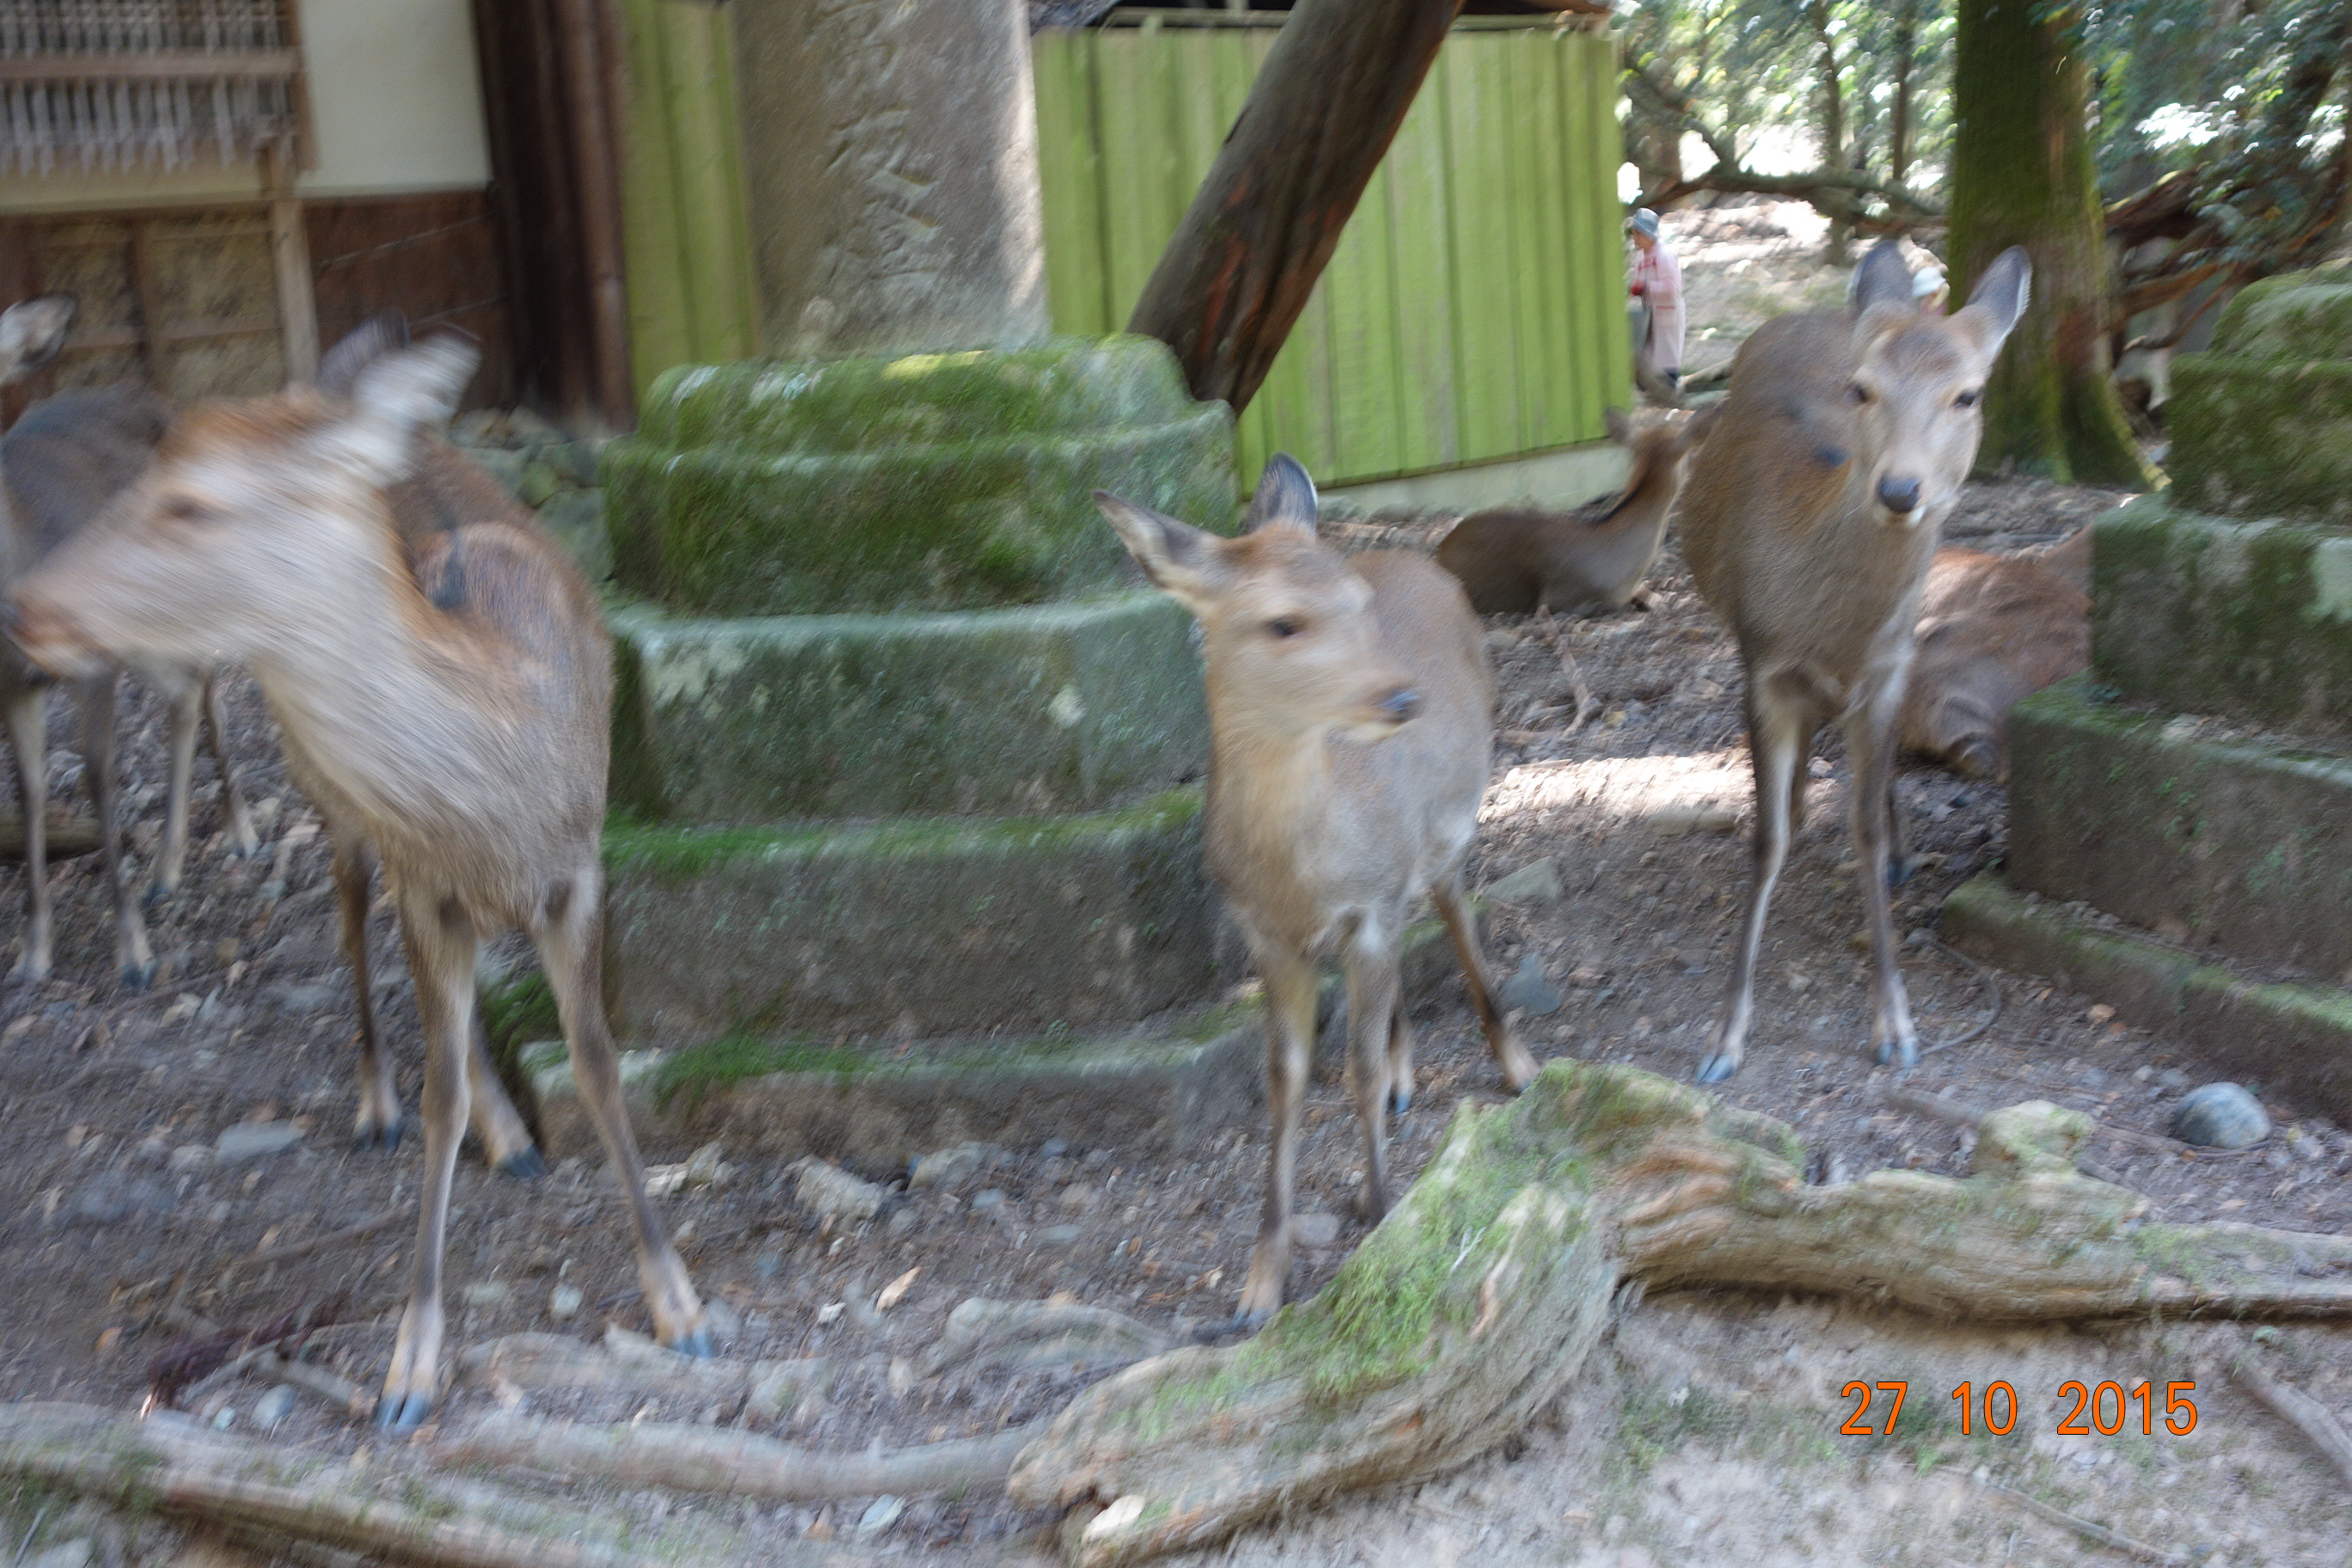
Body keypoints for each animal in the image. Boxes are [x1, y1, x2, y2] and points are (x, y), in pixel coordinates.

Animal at [0, 294, 258, 988]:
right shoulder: (10, 689)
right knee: (187, 690)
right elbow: (29, 794)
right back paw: (167, 871)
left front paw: (134, 953)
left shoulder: (89, 664)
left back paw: (239, 832)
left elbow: (98, 778)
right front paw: (33, 954)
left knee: (208, 680)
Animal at [1097, 453, 1538, 1325]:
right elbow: (1287, 1082)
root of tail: (1421, 560)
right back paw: (1408, 1076)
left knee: (1457, 916)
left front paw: (1383, 1215)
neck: (1303, 875)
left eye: (1357, 606)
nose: (1402, 699)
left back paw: (1516, 1063)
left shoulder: (1369, 906)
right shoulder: (1268, 940)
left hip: (1446, 830)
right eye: (1282, 623)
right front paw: (1259, 1285)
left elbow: (1354, 1070)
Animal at [1676, 238, 2030, 1085]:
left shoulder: (1889, 670)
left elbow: (1864, 826)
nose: (1900, 489)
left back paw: (1894, 850)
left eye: (1968, 394)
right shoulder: (1762, 664)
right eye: (1863, 388)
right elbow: (1766, 838)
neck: (1832, 627)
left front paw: (1896, 1026)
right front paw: (1724, 1037)